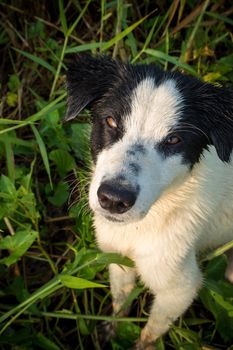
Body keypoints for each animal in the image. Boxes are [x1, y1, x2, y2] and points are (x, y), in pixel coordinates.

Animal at [64, 53, 233, 348]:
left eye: (174, 139)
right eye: (110, 121)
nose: (113, 199)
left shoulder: (179, 289)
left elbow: (150, 332)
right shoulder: (117, 257)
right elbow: (120, 300)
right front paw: (111, 330)